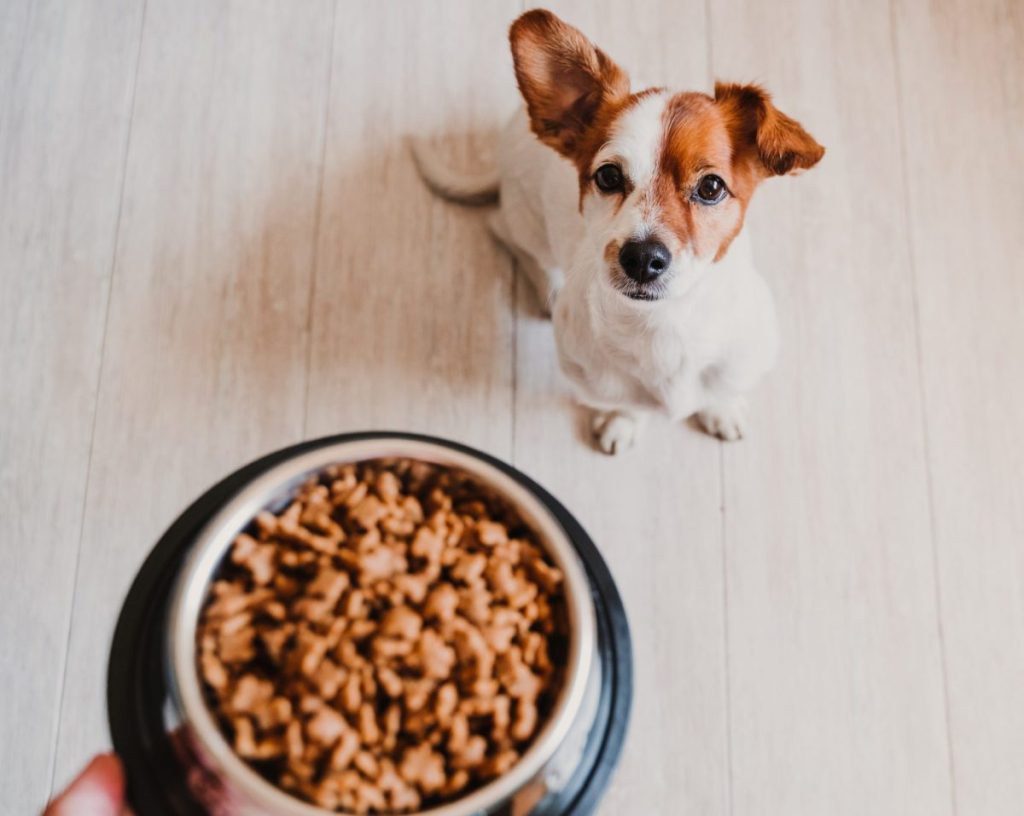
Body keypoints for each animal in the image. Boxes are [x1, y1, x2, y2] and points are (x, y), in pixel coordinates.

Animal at [411, 7, 819, 452]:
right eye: (607, 176)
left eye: (711, 187)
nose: (641, 257)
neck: (663, 325)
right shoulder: (596, 380)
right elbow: (626, 404)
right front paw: (623, 421)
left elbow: (722, 390)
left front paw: (721, 408)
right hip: (525, 224)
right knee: (504, 231)